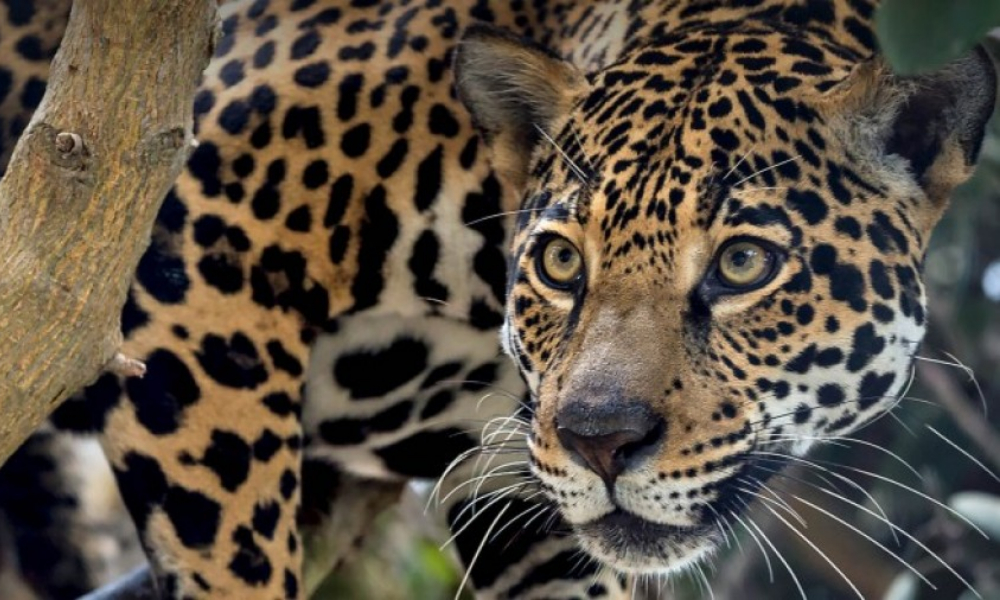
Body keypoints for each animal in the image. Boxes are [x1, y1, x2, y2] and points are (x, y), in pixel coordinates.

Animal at [0, 0, 995, 599]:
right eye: (559, 261)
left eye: (744, 264)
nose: (600, 441)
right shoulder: (188, 242)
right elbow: (238, 556)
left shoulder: (517, 487)